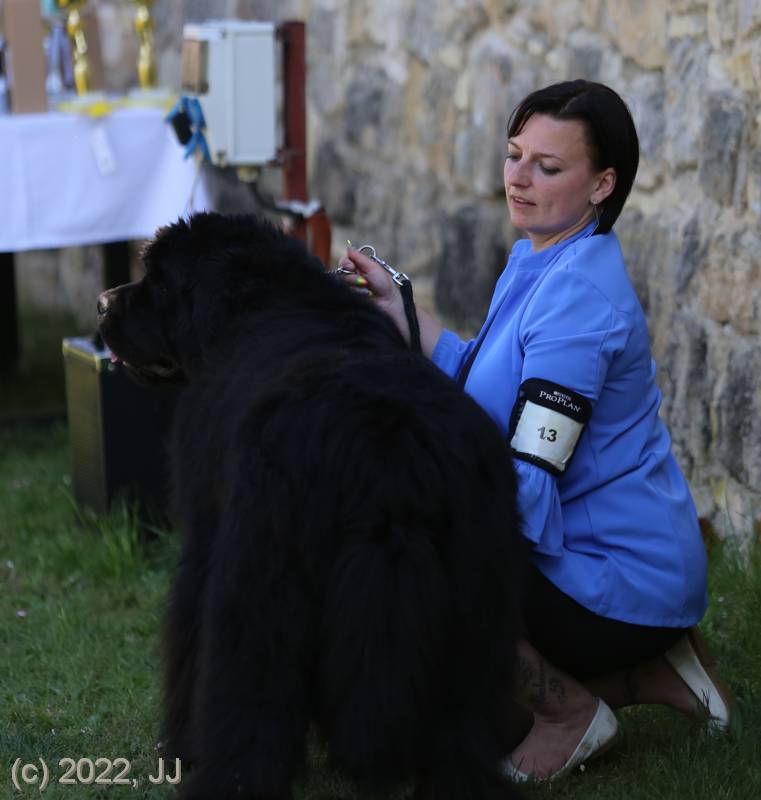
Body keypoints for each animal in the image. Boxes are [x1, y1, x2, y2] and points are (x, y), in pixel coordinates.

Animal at [97, 212, 525, 800]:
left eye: (157, 283)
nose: (101, 303)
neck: (255, 302)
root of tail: (386, 452)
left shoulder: (207, 535)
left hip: (260, 581)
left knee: (249, 699)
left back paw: (225, 778)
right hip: (479, 602)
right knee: (464, 729)